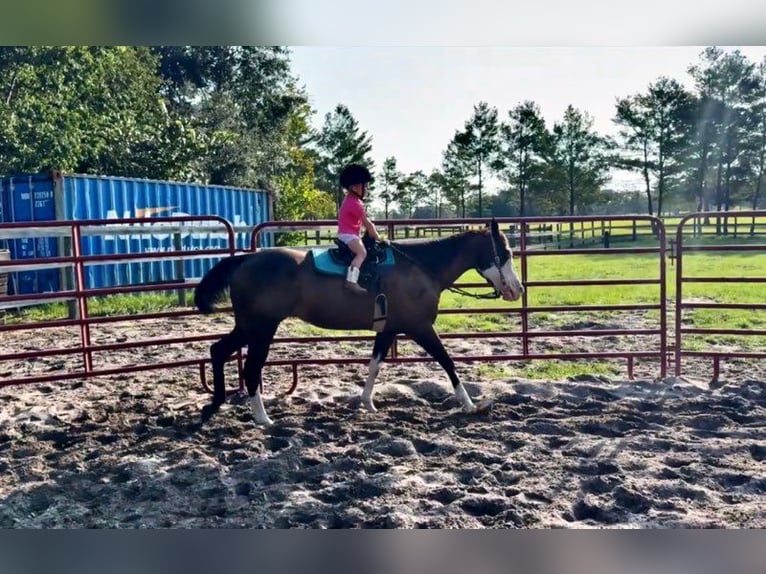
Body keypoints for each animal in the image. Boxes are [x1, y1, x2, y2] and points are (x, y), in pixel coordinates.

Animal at [194, 218, 524, 425]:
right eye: (505, 253)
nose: (517, 289)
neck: (420, 269)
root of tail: (245, 259)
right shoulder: (421, 328)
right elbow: (448, 362)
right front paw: (471, 404)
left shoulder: (389, 330)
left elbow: (374, 366)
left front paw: (367, 403)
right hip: (262, 329)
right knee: (250, 369)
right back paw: (262, 418)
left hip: (247, 327)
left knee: (218, 351)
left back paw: (215, 405)